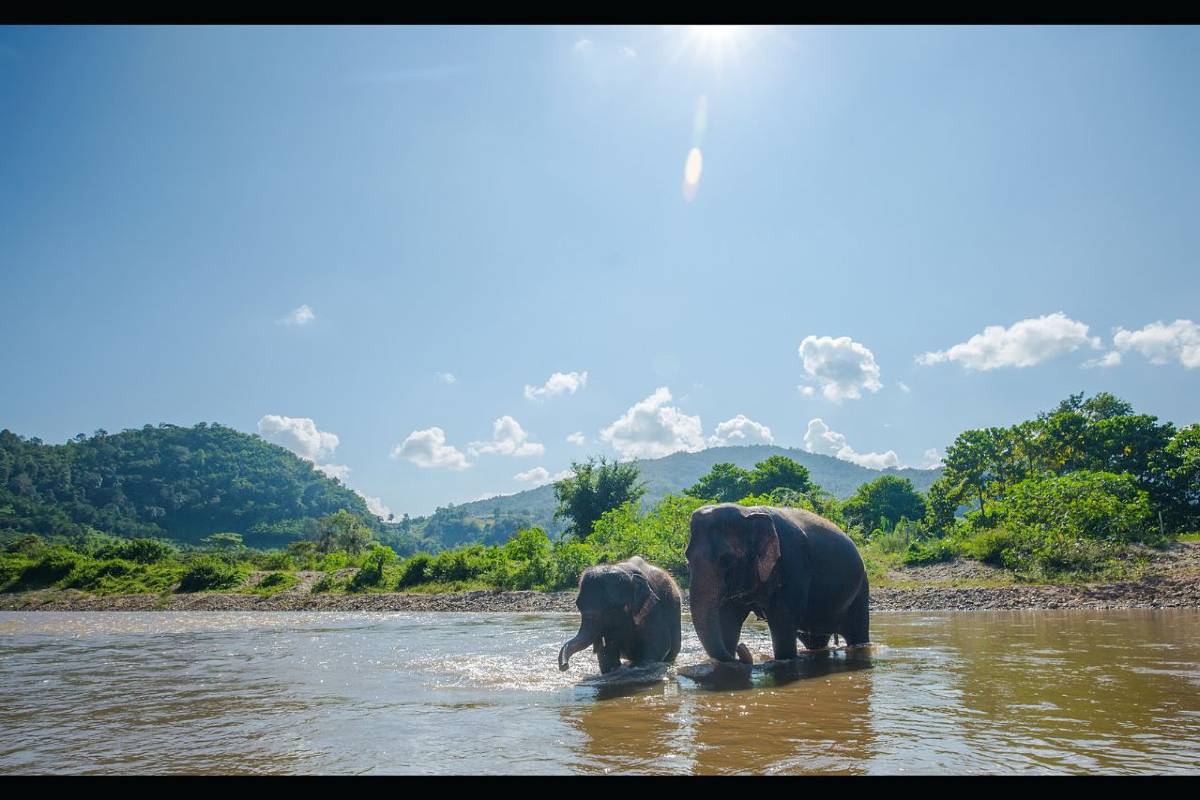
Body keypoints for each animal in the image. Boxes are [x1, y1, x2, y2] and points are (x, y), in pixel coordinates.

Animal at [686, 503, 870, 663]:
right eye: (687, 558)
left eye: (726, 559)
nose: (741, 649)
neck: (748, 512)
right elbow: (728, 619)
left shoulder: (793, 564)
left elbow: (782, 619)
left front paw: (784, 659)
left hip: (861, 589)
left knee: (857, 633)